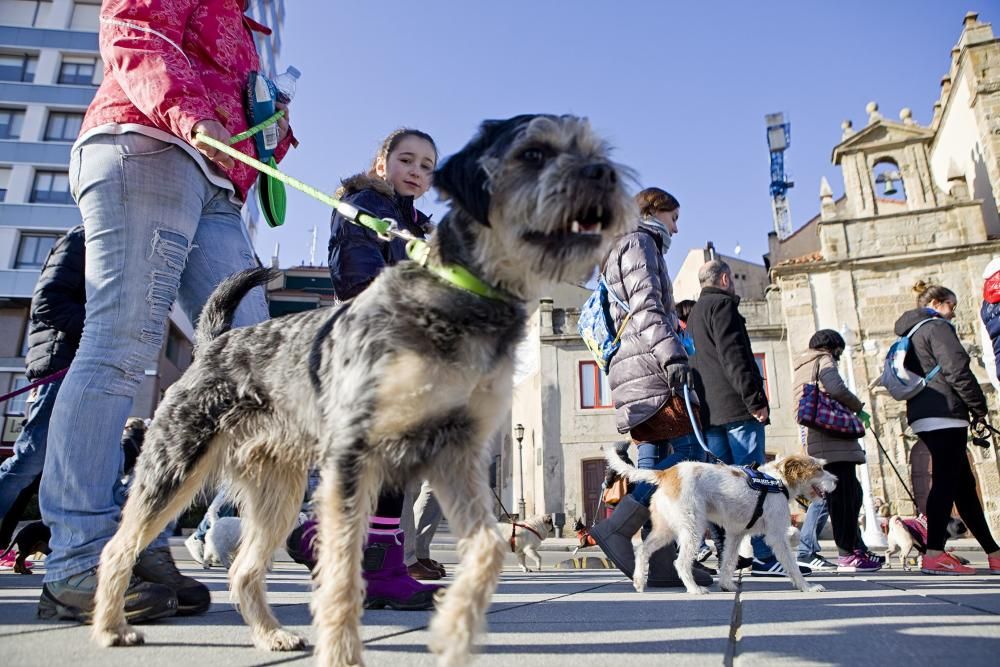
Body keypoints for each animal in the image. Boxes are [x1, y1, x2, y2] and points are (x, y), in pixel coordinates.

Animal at [88, 112, 632, 664]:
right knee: (118, 546)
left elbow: (486, 548)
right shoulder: (355, 459)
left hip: (277, 492)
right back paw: (112, 625)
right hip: (173, 470)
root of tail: (212, 343)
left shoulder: (455, 455)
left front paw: (453, 629)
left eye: (592, 148)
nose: (606, 176)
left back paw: (272, 636)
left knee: (243, 569)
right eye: (532, 153)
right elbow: (344, 572)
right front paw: (342, 652)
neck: (458, 293)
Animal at [608, 452, 836, 596]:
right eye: (818, 469)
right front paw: (807, 587)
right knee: (680, 562)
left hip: (666, 529)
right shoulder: (776, 534)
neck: (778, 481)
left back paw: (639, 581)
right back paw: (694, 589)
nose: (837, 481)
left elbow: (728, 561)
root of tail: (666, 473)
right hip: (693, 528)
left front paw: (727, 585)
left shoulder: (736, 534)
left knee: (643, 550)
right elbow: (792, 561)